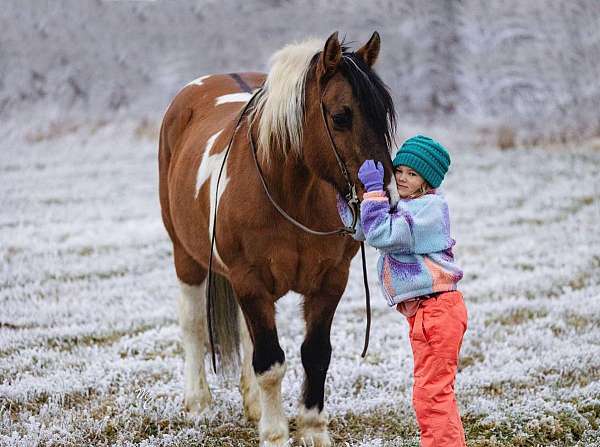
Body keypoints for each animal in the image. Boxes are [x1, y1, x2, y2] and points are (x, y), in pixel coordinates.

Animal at [158, 32, 398, 447]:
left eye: (384, 112)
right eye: (341, 116)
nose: (386, 196)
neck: (289, 194)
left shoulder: (330, 281)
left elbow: (315, 355)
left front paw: (313, 430)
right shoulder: (249, 280)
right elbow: (270, 362)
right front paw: (274, 434)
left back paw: (253, 403)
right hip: (186, 256)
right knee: (193, 324)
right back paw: (198, 402)